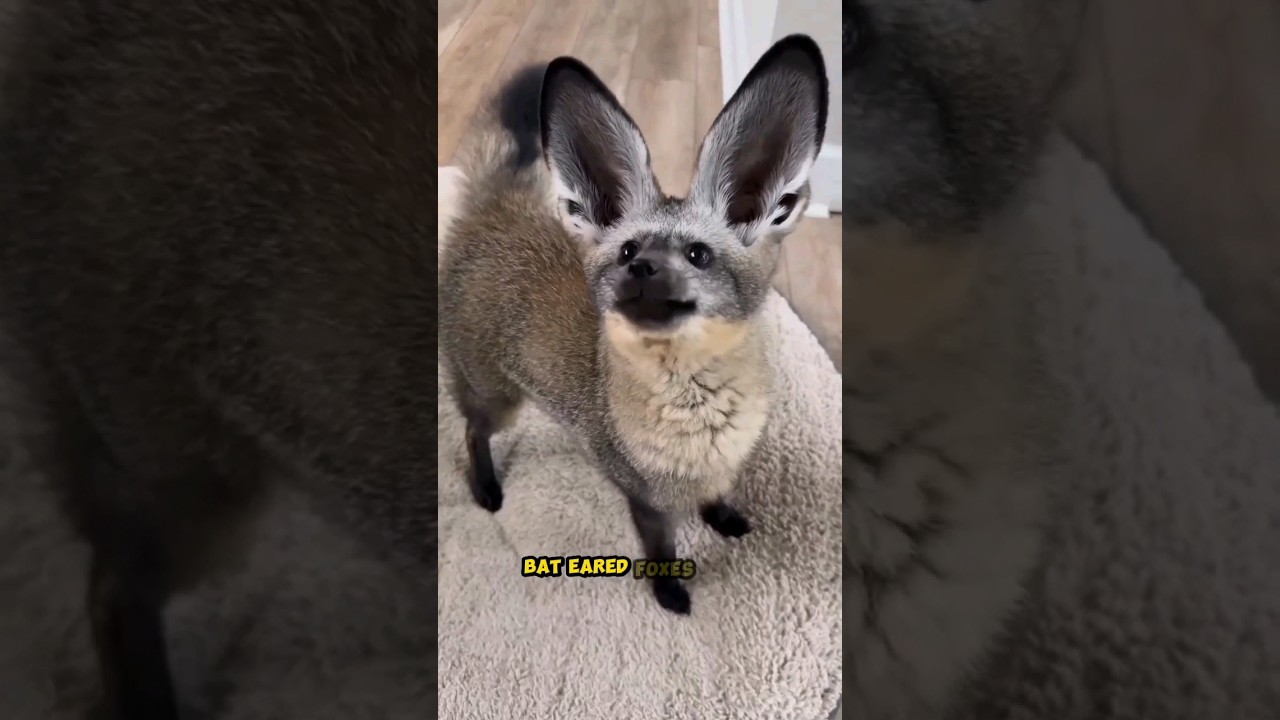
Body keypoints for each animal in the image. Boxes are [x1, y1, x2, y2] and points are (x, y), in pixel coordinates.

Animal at [439, 35, 828, 615]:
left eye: (697, 254)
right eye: (627, 250)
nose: (640, 269)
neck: (699, 419)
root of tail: (498, 208)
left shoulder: (719, 468)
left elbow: (717, 495)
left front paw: (721, 517)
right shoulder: (645, 499)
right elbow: (662, 550)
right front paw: (669, 594)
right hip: (498, 398)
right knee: (471, 432)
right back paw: (484, 487)